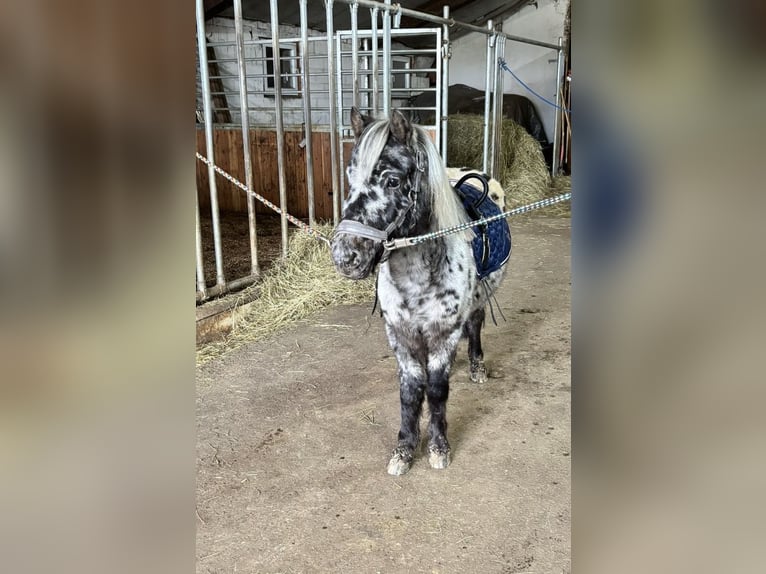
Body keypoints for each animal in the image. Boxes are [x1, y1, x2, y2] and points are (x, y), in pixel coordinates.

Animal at [330, 108, 508, 475]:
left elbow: (437, 390)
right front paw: (403, 451)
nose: (345, 256)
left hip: (479, 300)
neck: (416, 274)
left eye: (392, 181)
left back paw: (477, 368)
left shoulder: (444, 331)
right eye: (350, 178)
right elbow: (411, 390)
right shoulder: (400, 333)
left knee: (476, 325)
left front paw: (439, 448)